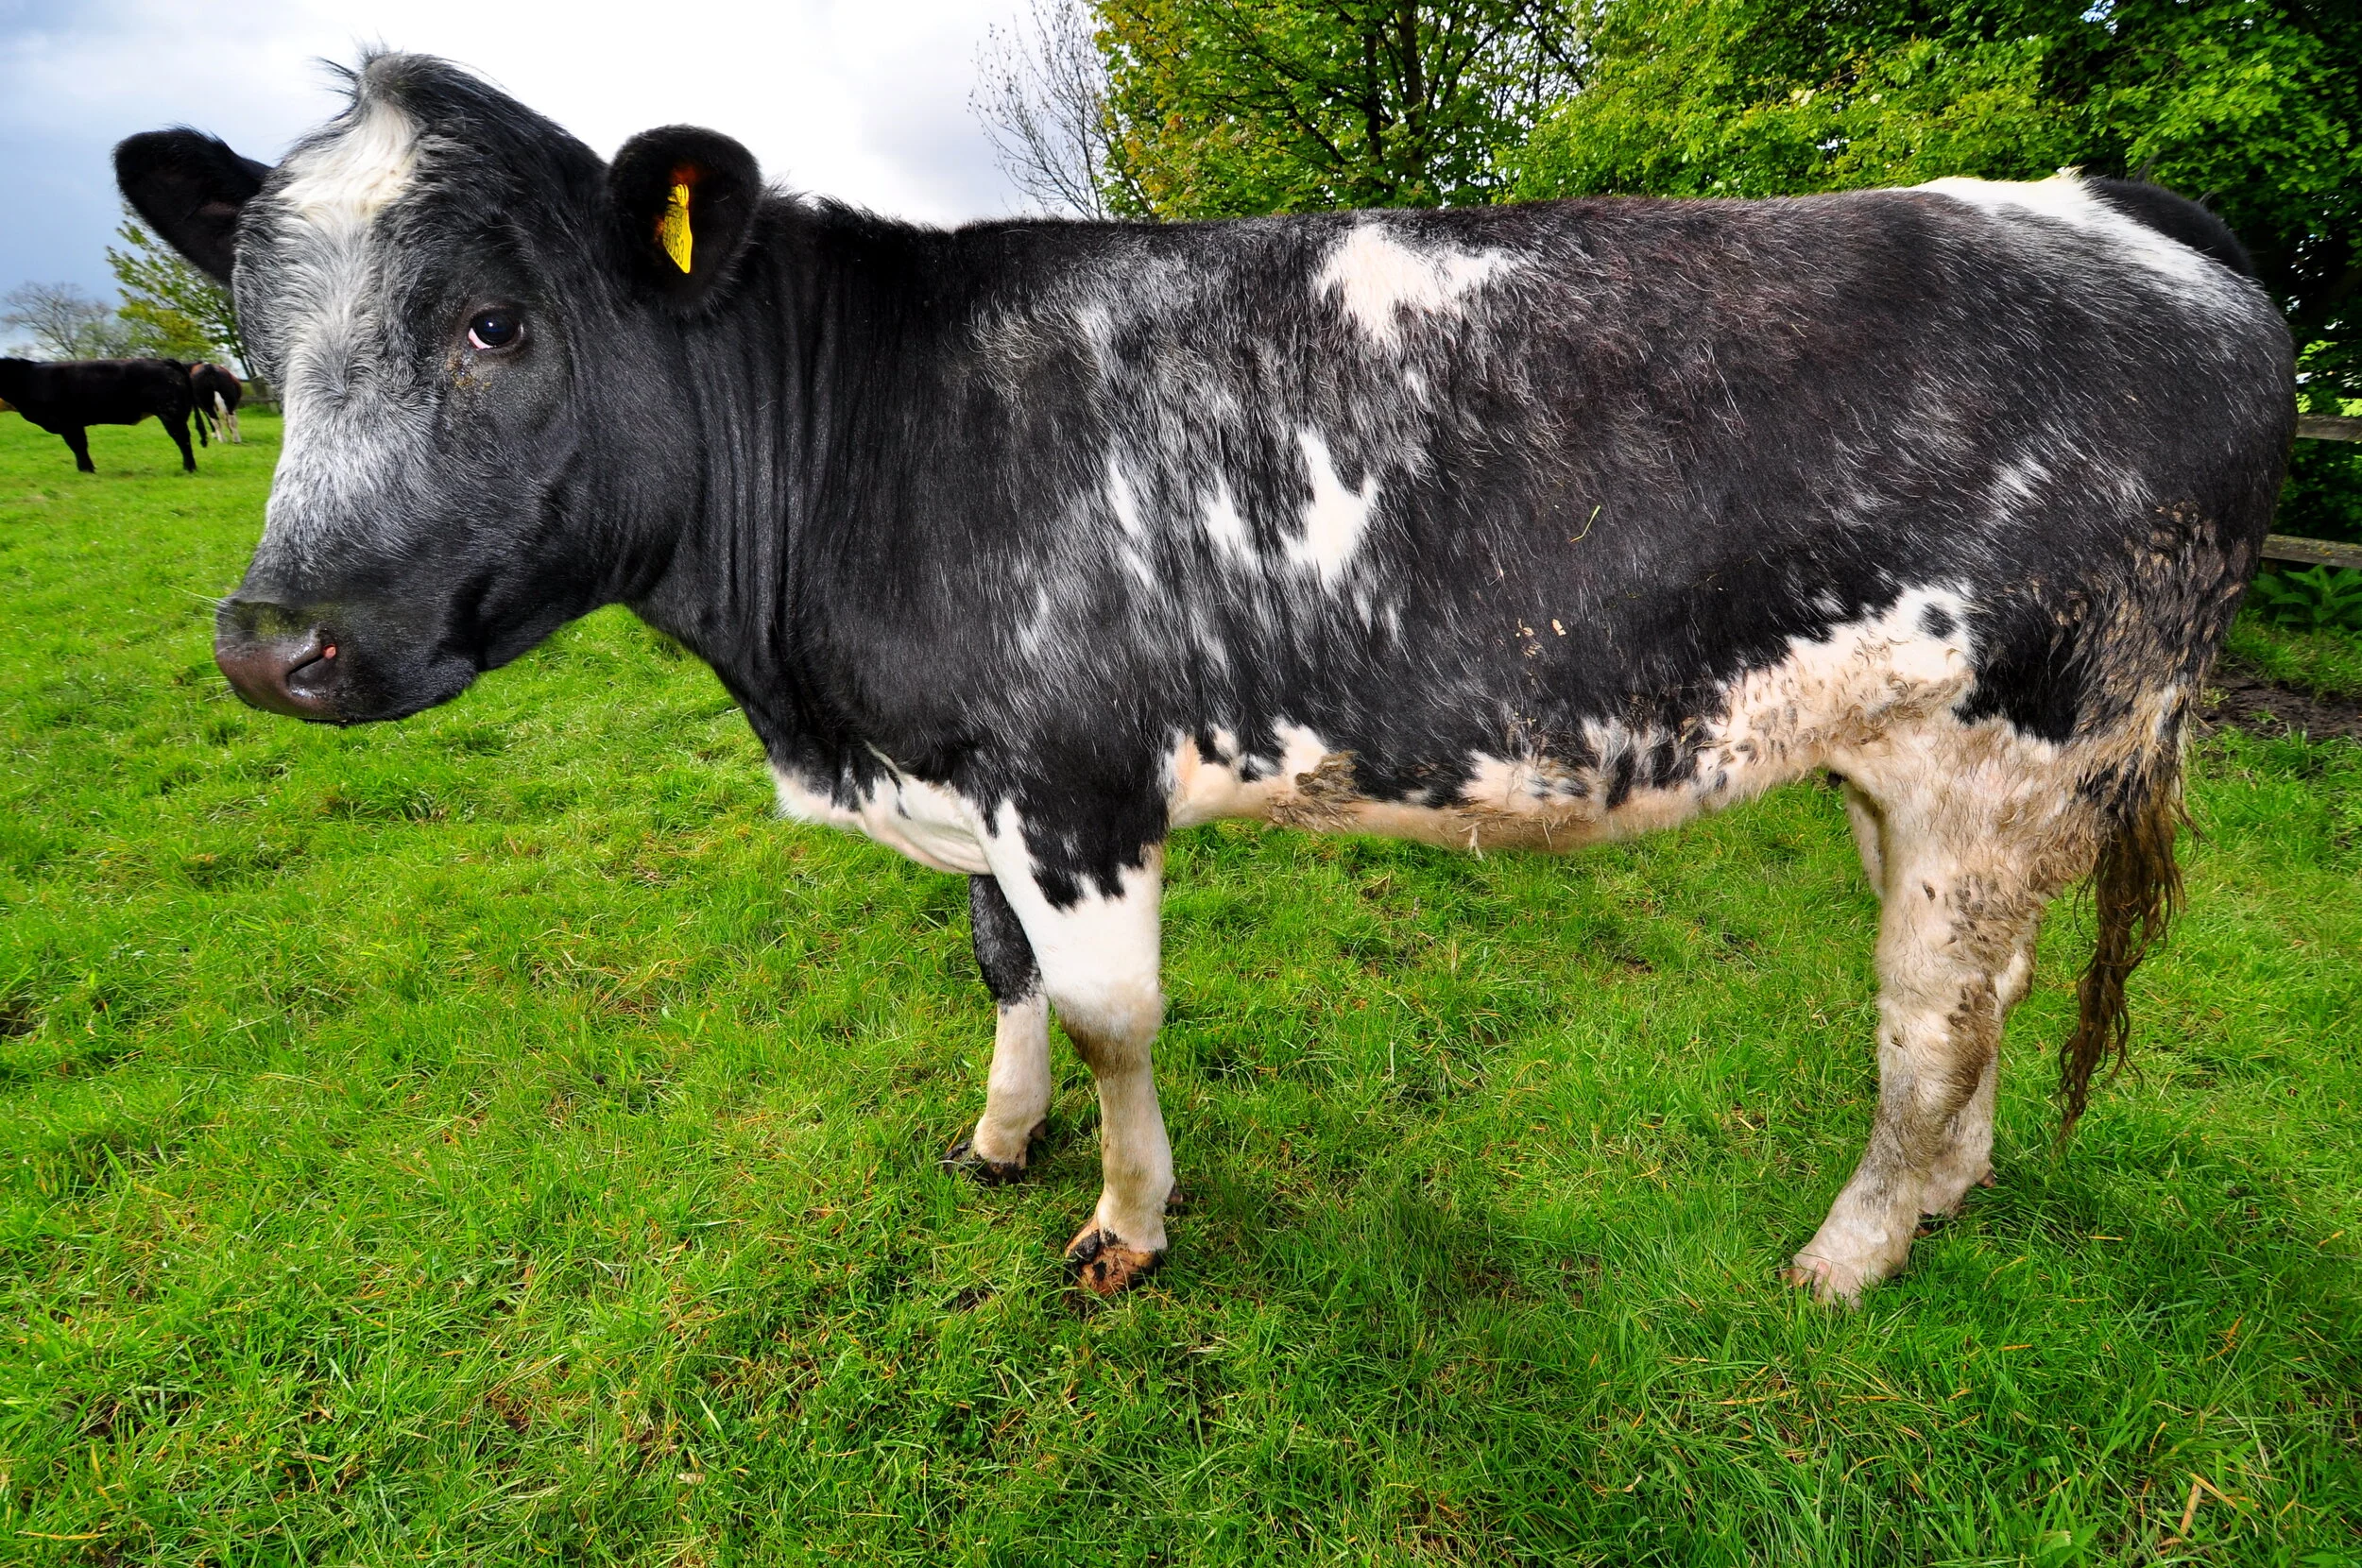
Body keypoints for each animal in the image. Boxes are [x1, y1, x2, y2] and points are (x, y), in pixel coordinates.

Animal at [0, 356, 199, 473]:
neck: (30, 378)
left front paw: (86, 470)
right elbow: (80, 446)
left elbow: (78, 446)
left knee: (182, 439)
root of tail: (164, 360)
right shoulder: (73, 424)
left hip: (171, 413)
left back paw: (188, 468)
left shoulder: (68, 423)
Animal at [116, 54, 2291, 1304]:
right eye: (257, 347)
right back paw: (1949, 1196)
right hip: (1907, 770)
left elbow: (1109, 1021)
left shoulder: (1078, 781)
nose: (272, 640)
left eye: (495, 322)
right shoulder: (975, 779)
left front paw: (1123, 1224)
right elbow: (1001, 982)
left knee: (1927, 1023)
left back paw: (1848, 1253)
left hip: (2022, 744)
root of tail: (2106, 203)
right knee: (1983, 1001)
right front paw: (997, 1141)